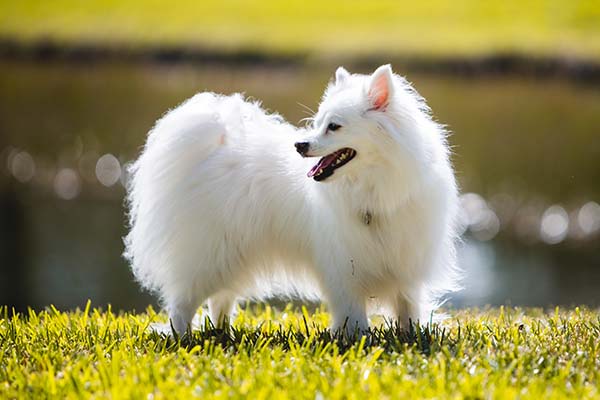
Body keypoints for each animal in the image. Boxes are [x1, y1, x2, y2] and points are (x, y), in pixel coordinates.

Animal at [123, 65, 460, 334]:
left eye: (334, 126)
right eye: (317, 123)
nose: (300, 145)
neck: (372, 188)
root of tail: (214, 147)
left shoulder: (406, 268)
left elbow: (408, 308)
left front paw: (411, 336)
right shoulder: (343, 270)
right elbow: (353, 314)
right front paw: (357, 338)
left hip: (233, 253)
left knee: (221, 299)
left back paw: (222, 332)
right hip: (211, 254)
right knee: (183, 303)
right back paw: (182, 336)